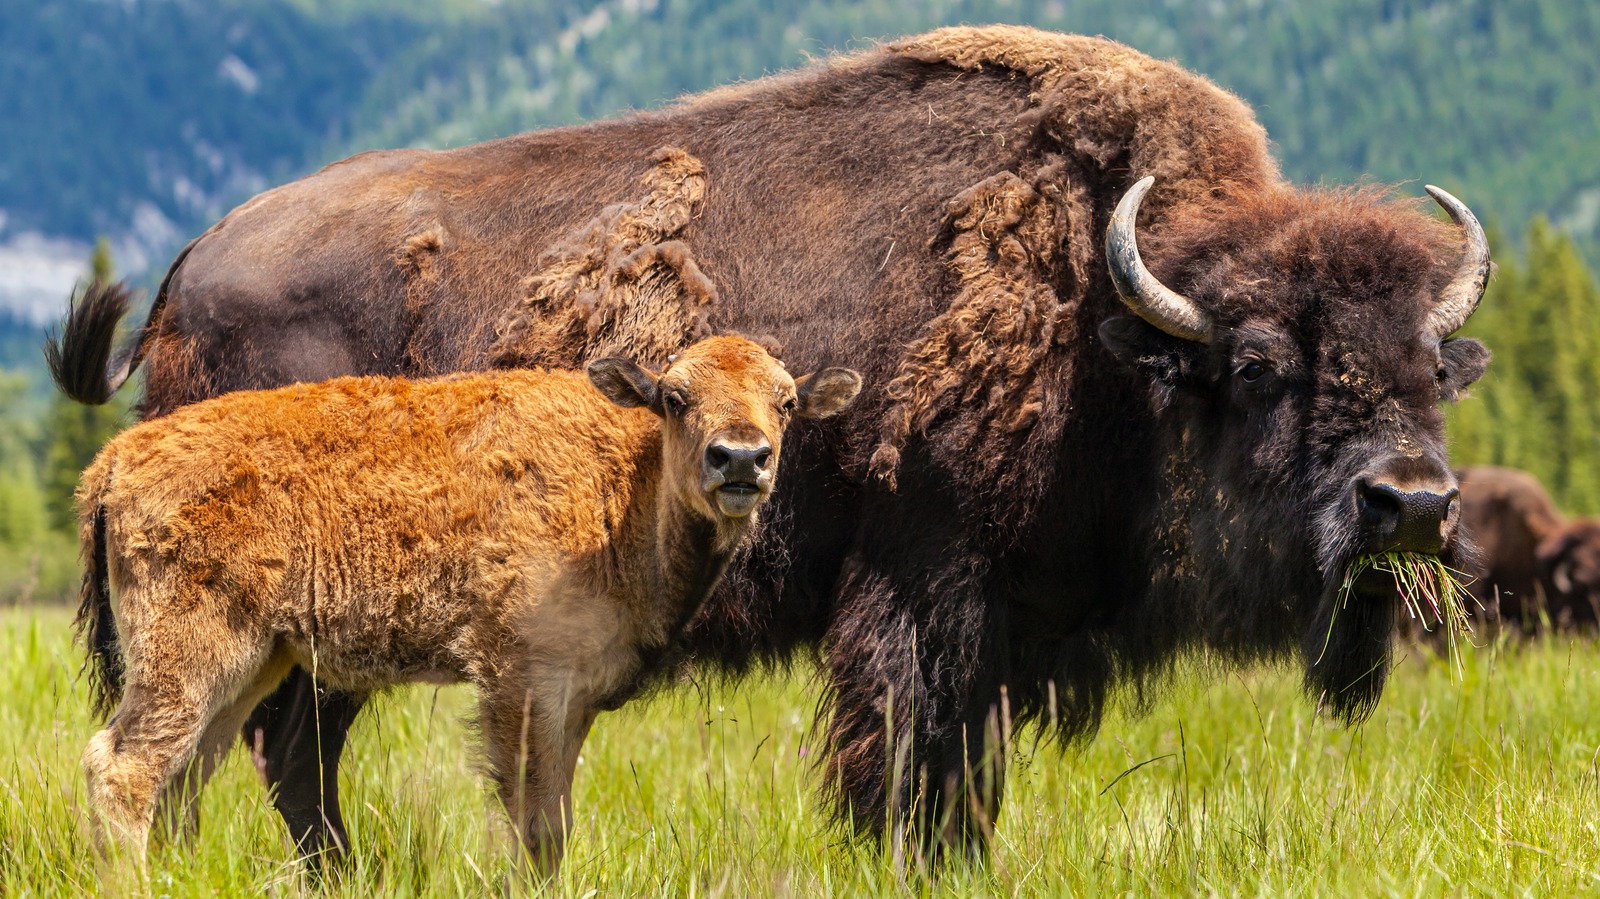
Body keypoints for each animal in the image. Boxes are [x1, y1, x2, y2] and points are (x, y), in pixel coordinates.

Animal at [76, 332, 864, 870]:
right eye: (675, 399)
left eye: (787, 402)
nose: (741, 458)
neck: (623, 485)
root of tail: (116, 457)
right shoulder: (520, 679)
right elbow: (532, 819)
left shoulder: (574, 695)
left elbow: (556, 814)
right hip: (188, 655)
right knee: (125, 767)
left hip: (250, 663)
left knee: (186, 774)